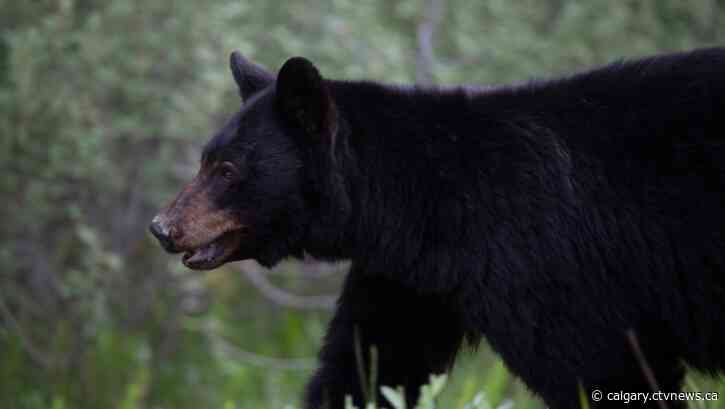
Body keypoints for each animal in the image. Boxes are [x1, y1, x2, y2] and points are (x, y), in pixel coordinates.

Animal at [150, 47, 725, 409]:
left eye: (227, 170)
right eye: (205, 159)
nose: (162, 227)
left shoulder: (545, 259)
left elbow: (600, 366)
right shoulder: (412, 281)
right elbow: (369, 366)